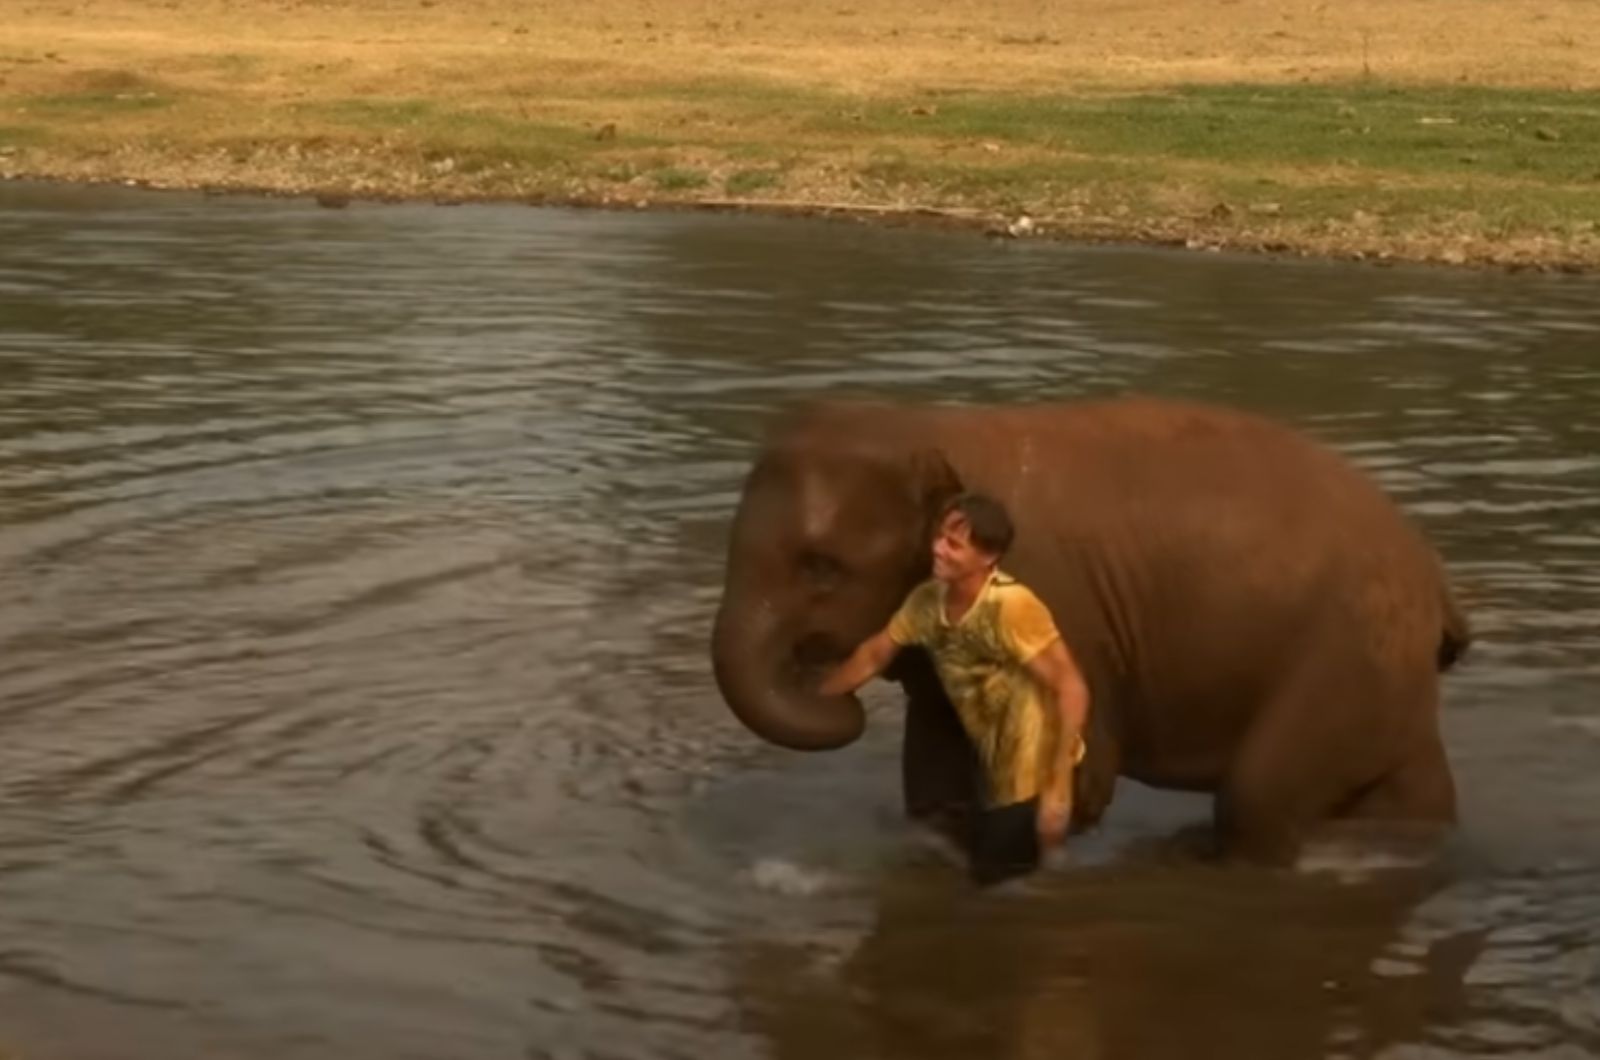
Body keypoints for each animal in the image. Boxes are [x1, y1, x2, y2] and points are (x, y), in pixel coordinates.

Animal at [713, 397, 1472, 864]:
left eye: (821, 568)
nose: (829, 681)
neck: (934, 425)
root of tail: (1435, 578)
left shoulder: (1056, 604)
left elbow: (1075, 773)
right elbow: (932, 770)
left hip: (1351, 650)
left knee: (1258, 797)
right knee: (1409, 799)